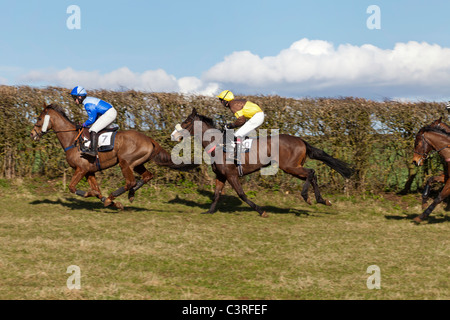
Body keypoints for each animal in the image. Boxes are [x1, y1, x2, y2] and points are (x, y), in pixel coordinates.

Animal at [30, 104, 193, 209]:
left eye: (39, 118)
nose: (32, 134)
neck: (72, 140)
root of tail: (149, 139)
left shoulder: (81, 169)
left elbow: (72, 187)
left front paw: (101, 197)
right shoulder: (89, 171)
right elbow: (97, 191)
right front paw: (112, 202)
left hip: (125, 162)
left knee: (131, 182)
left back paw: (113, 196)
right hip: (138, 163)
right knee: (147, 176)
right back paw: (129, 195)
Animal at [171, 108, 354, 218]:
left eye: (186, 122)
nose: (173, 135)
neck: (218, 143)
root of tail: (301, 140)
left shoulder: (231, 174)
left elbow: (242, 194)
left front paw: (261, 211)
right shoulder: (221, 176)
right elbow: (216, 195)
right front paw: (209, 212)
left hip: (290, 167)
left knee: (311, 172)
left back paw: (307, 197)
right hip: (293, 167)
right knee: (312, 175)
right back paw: (321, 200)